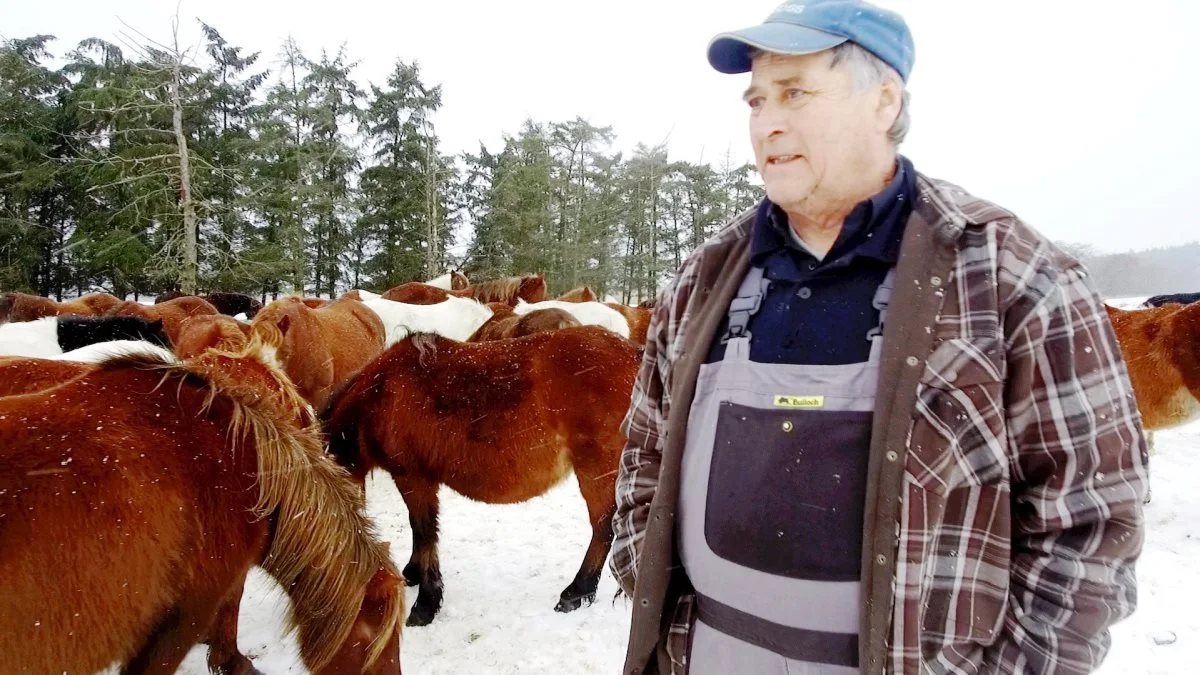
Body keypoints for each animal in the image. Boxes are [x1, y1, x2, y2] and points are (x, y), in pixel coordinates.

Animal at [316, 324, 638, 624]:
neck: (382, 392)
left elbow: (424, 531)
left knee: (603, 528)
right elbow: (420, 531)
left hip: (596, 471)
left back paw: (576, 592)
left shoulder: (413, 477)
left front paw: (426, 603)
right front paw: (414, 574)